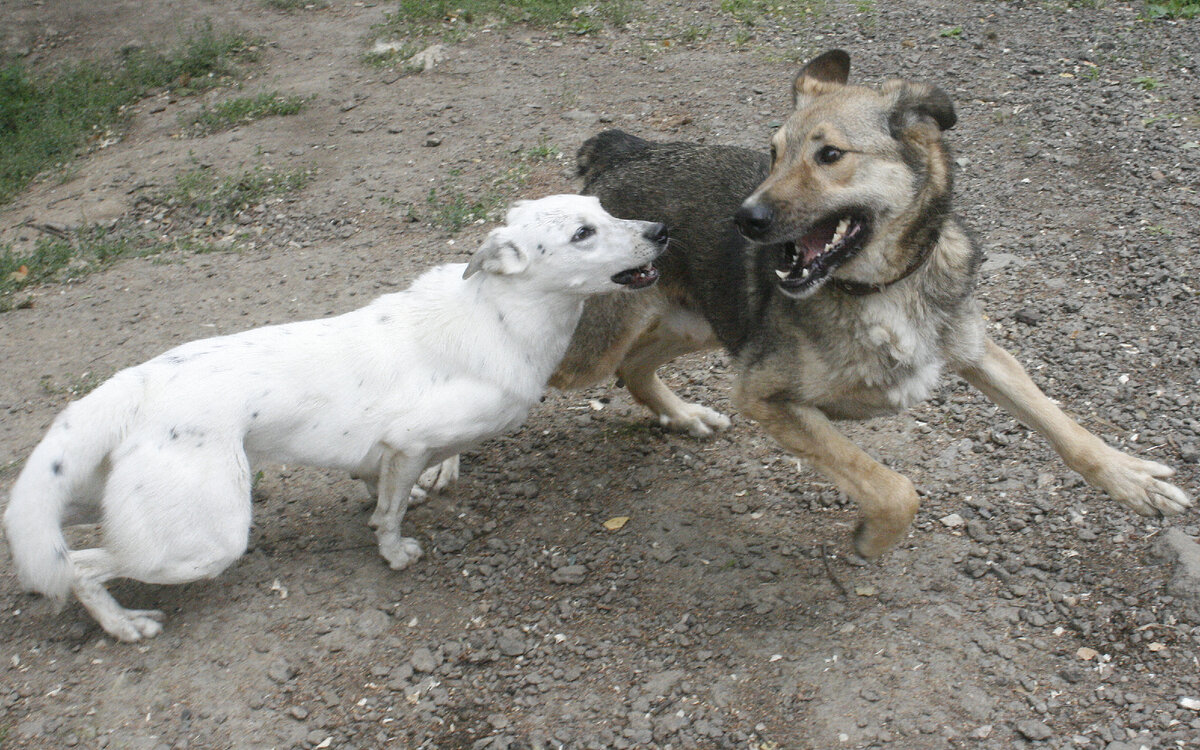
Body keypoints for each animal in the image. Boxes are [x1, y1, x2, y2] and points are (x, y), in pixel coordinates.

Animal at [4, 194, 667, 638]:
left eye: (605, 209)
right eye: (583, 233)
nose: (662, 230)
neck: (502, 317)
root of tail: (134, 384)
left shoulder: (393, 452)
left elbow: (386, 486)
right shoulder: (409, 440)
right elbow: (391, 516)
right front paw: (395, 552)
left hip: (88, 497)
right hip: (205, 540)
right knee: (78, 567)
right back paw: (124, 625)